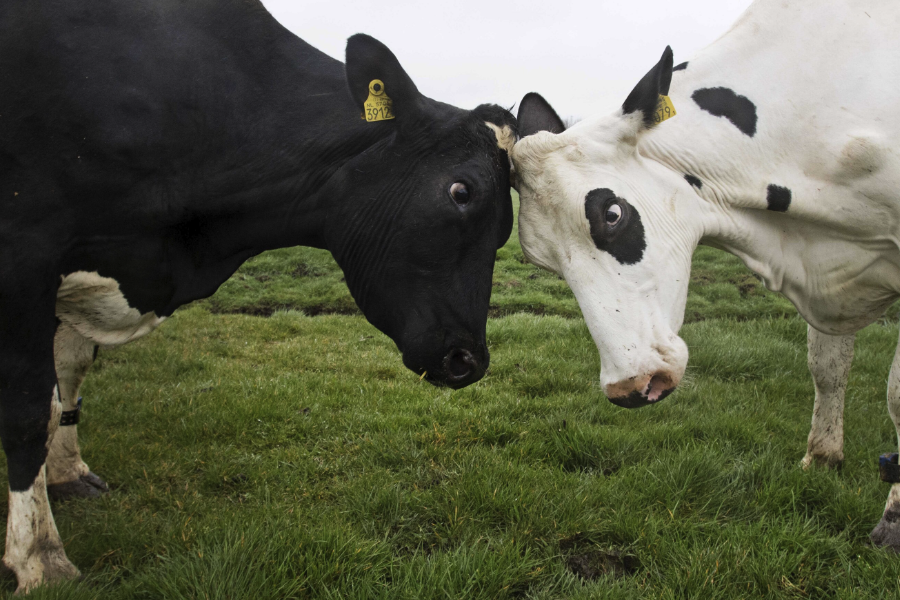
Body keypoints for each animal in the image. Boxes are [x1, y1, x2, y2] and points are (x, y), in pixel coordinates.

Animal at [0, 0, 512, 592]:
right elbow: (28, 411)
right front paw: (39, 557)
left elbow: (70, 376)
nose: (469, 360)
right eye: (461, 191)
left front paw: (66, 474)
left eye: (508, 227)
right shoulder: (24, 253)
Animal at [510, 0, 900, 548]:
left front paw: (893, 521)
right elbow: (827, 367)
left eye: (612, 213)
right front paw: (822, 459)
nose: (631, 386)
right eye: (544, 260)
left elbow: (896, 393)